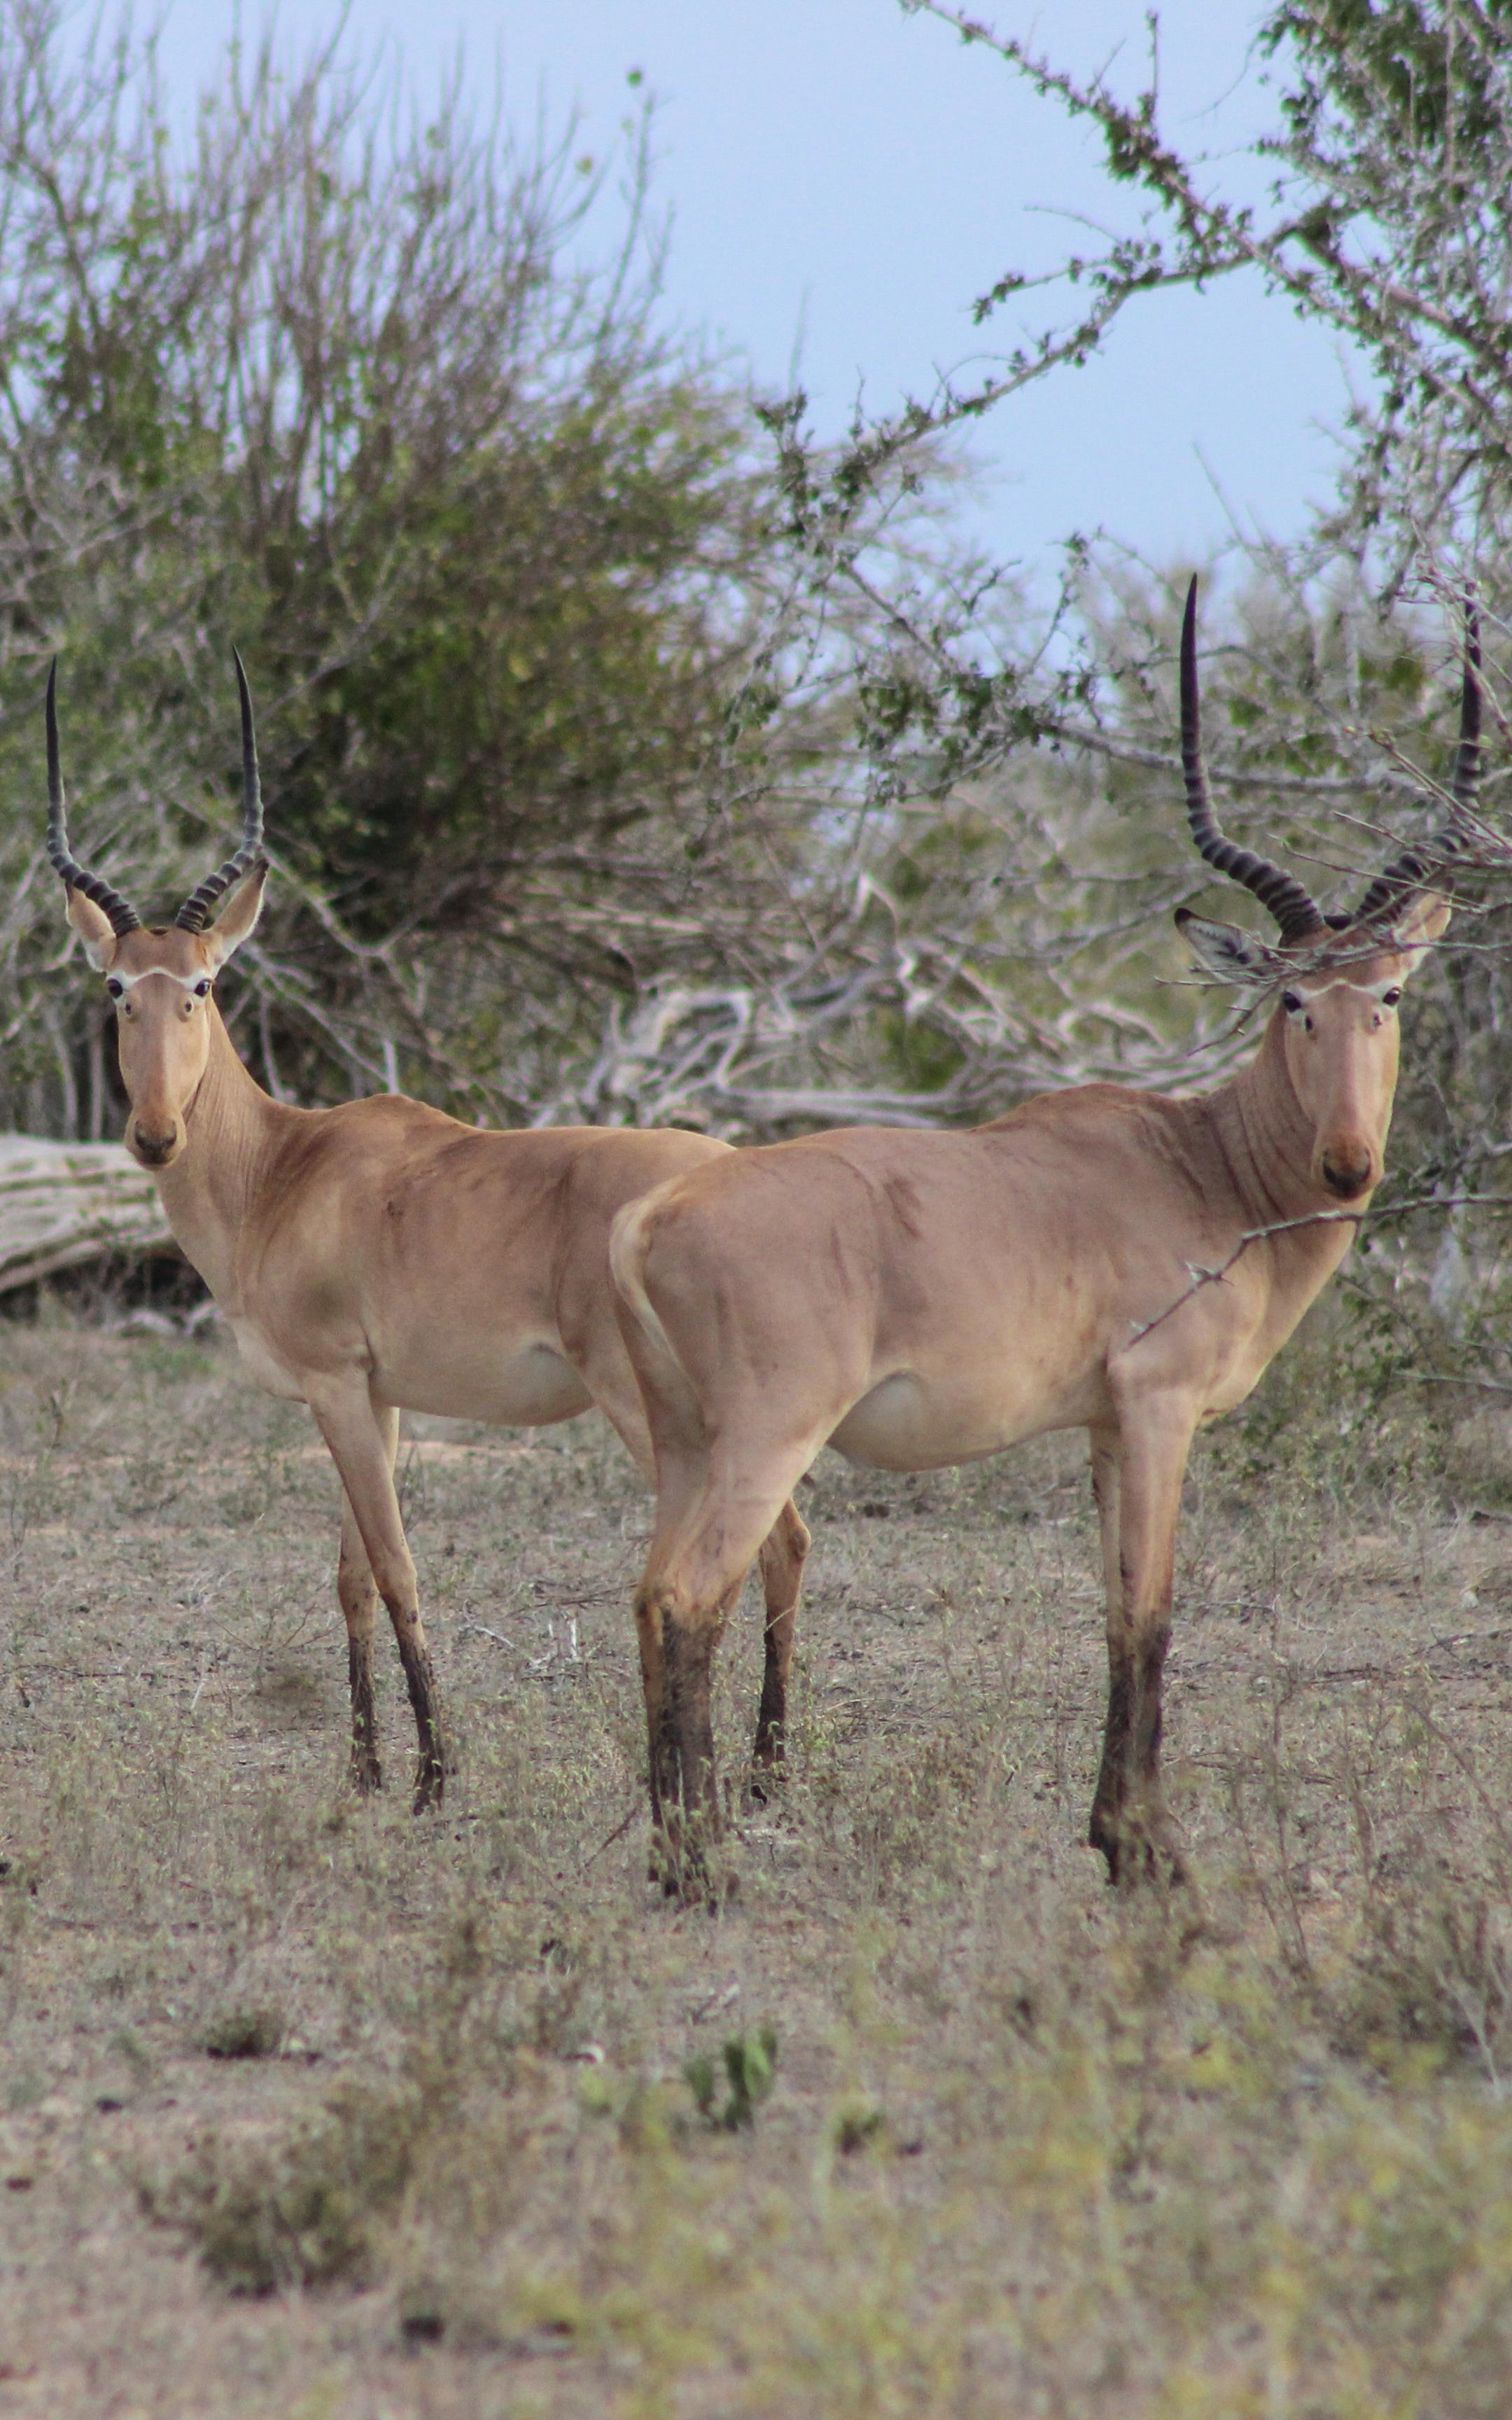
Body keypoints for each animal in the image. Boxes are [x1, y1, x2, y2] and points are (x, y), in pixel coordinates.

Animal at [44, 667, 803, 1819]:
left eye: (203, 986)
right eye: (117, 987)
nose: (155, 1132)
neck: (283, 1168)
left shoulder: (335, 1388)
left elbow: (400, 1570)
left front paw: (436, 1777)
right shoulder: (375, 1395)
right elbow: (352, 1575)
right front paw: (365, 1769)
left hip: (652, 1408)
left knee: (747, 1550)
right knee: (787, 1539)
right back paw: (766, 1773)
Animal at [609, 580, 1490, 1887]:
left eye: (1385, 992)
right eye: (1290, 995)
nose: (1348, 1163)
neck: (1198, 1163)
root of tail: (655, 1212)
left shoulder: (1104, 1429)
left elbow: (1114, 1609)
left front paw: (1119, 1838)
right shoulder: (1160, 1411)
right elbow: (1152, 1611)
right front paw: (1153, 1850)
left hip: (682, 1444)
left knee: (645, 1592)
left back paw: (680, 1855)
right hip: (768, 1439)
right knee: (685, 1598)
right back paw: (702, 1869)